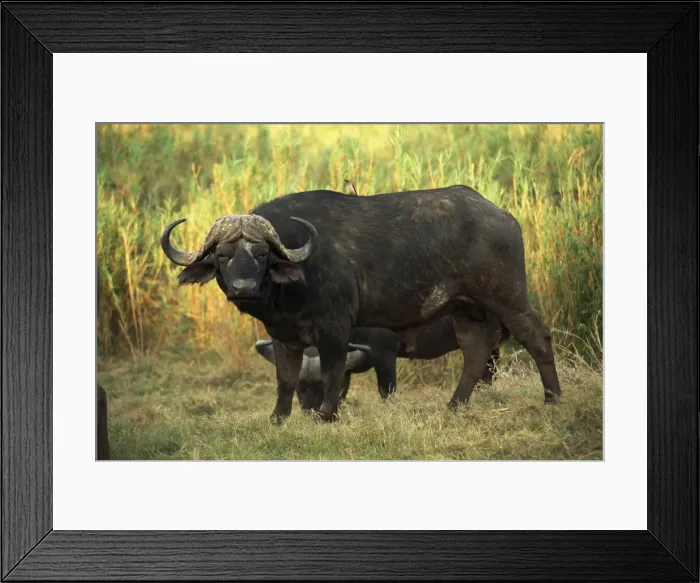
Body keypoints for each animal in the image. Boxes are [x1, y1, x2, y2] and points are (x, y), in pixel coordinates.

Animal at [161, 185, 561, 422]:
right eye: (223, 256)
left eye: (261, 253)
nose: (243, 286)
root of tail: (504, 218)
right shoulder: (283, 335)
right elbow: (285, 378)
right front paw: (279, 417)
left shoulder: (337, 329)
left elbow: (334, 372)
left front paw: (327, 414)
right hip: (464, 310)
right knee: (476, 356)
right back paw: (454, 406)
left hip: (507, 298)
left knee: (538, 338)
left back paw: (552, 399)